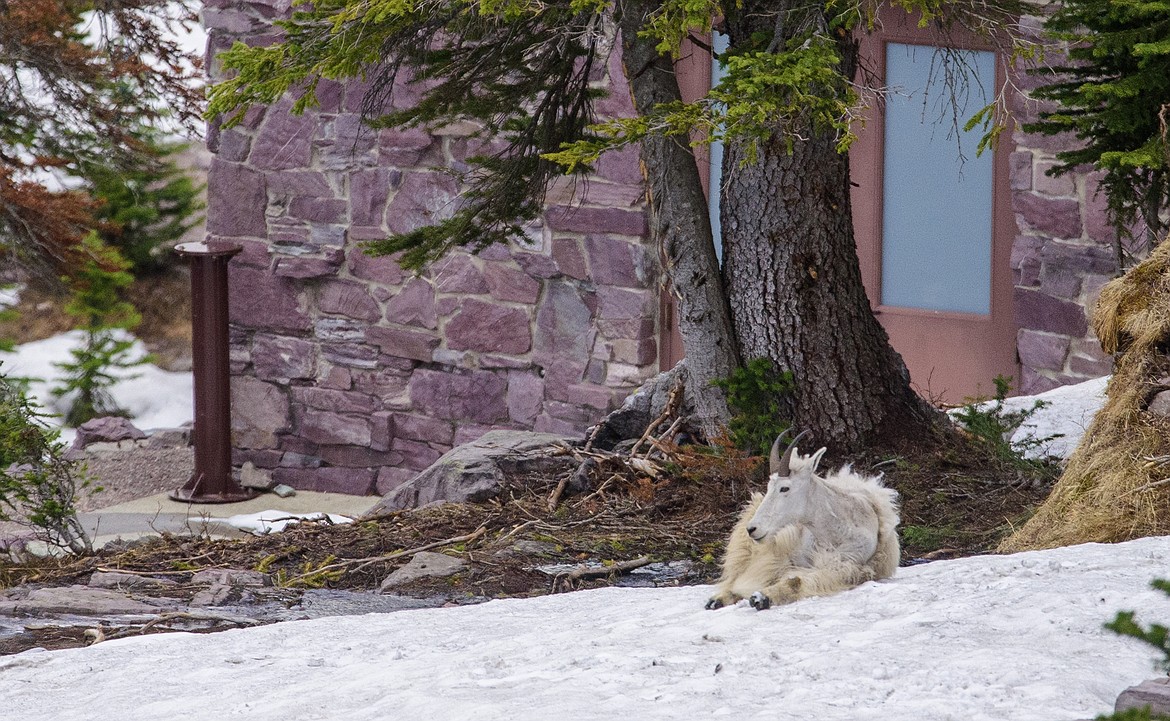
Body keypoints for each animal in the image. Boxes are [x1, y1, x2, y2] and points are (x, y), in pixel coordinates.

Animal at [702, 430, 903, 613]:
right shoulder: (782, 554)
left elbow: (797, 580)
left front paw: (762, 597)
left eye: (785, 488)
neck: (835, 532)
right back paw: (717, 600)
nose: (752, 529)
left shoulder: (846, 565)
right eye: (768, 487)